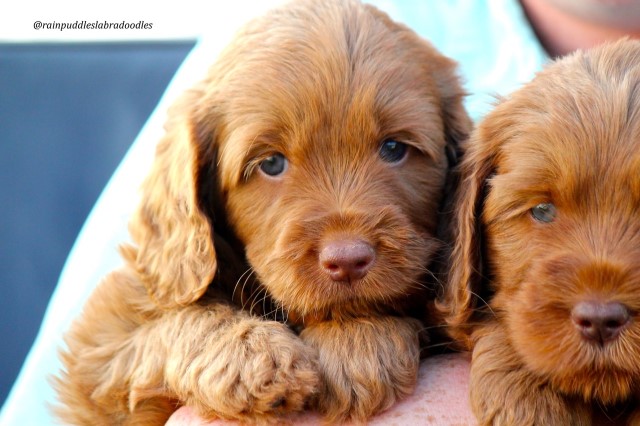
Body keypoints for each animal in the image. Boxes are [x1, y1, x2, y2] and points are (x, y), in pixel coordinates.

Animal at [52, 0, 470, 424]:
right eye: (270, 163)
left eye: (394, 148)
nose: (348, 260)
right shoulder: (100, 346)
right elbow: (173, 321)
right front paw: (251, 357)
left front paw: (358, 341)